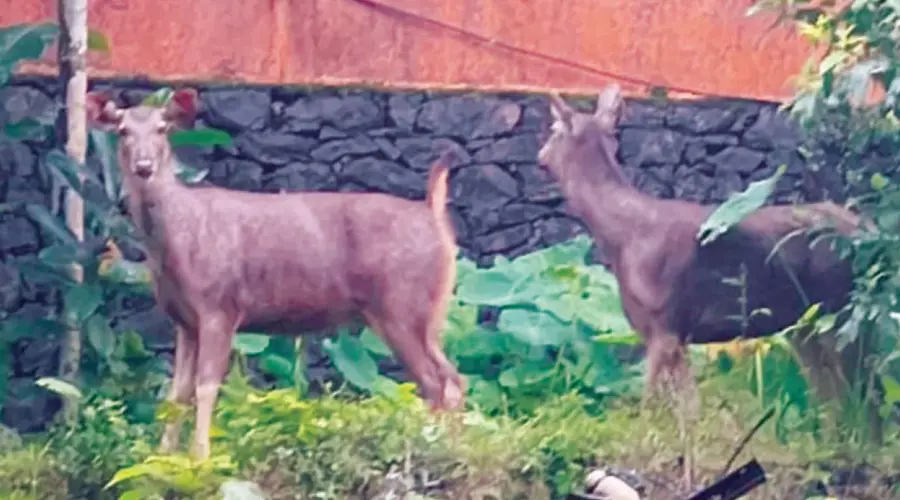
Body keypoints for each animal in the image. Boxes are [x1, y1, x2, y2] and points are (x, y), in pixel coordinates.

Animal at [84, 88, 465, 461]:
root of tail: (433, 215)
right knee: (453, 378)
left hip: (400, 304)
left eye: (163, 128)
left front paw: (201, 457)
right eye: (123, 131)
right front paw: (162, 456)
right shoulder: (183, 320)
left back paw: (432, 446)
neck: (175, 245)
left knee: (435, 381)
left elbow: (206, 386)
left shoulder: (220, 307)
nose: (144, 166)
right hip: (427, 312)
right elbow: (177, 392)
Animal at [538, 84, 873, 490]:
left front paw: (636, 465)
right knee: (831, 391)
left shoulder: (663, 324)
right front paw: (689, 474)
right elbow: (689, 410)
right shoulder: (676, 334)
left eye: (553, 130)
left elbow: (651, 404)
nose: (539, 157)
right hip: (805, 325)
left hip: (843, 309)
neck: (621, 238)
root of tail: (869, 228)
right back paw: (831, 456)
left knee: (861, 388)